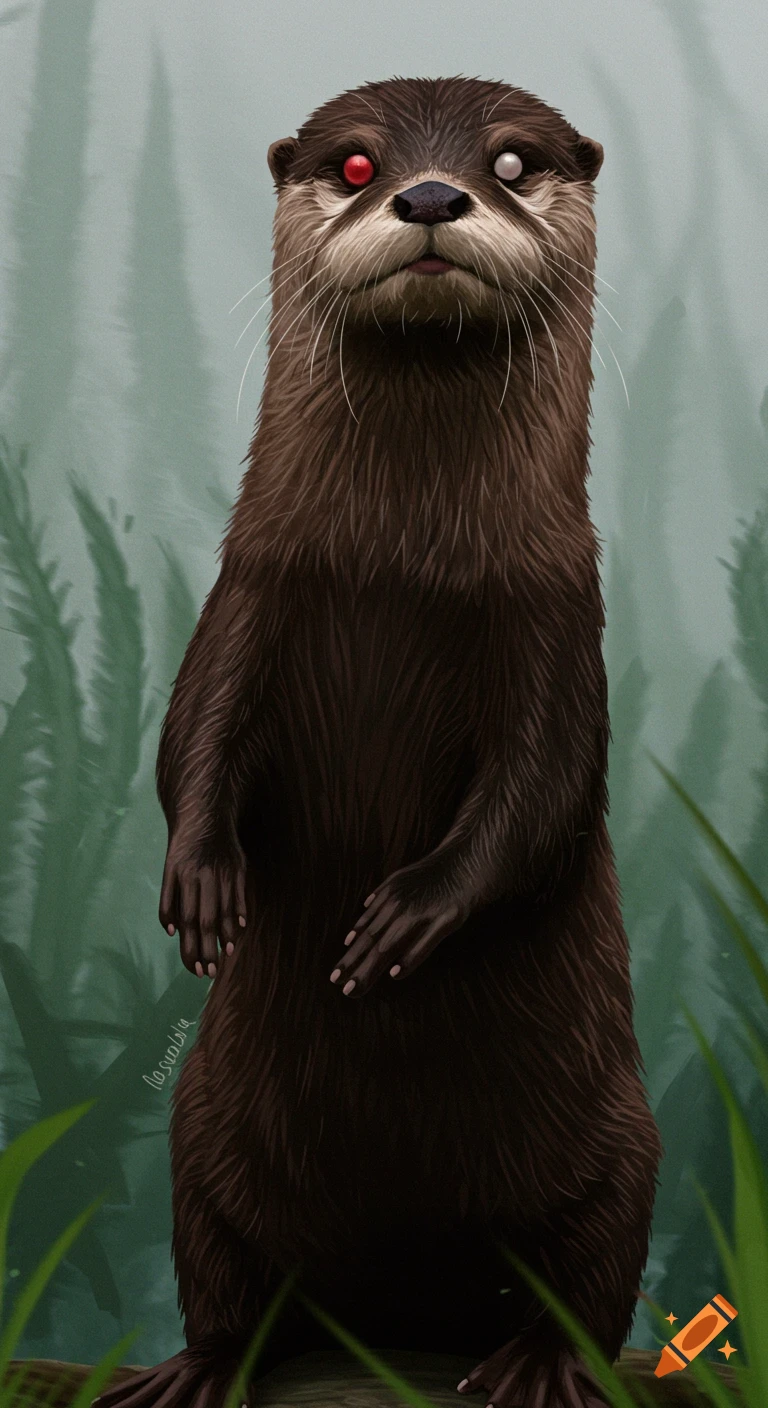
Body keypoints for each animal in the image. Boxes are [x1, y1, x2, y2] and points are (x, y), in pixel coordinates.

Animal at [97, 75, 661, 1408]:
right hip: (200, 1144)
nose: (432, 194)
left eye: (510, 162)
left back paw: (536, 1362)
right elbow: (187, 738)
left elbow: (546, 792)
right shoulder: (248, 594)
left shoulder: (557, 626)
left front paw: (408, 914)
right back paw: (199, 1365)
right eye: (357, 164)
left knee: (591, 1275)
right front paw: (202, 884)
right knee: (229, 1281)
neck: (401, 568)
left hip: (625, 1145)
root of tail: (398, 1304)